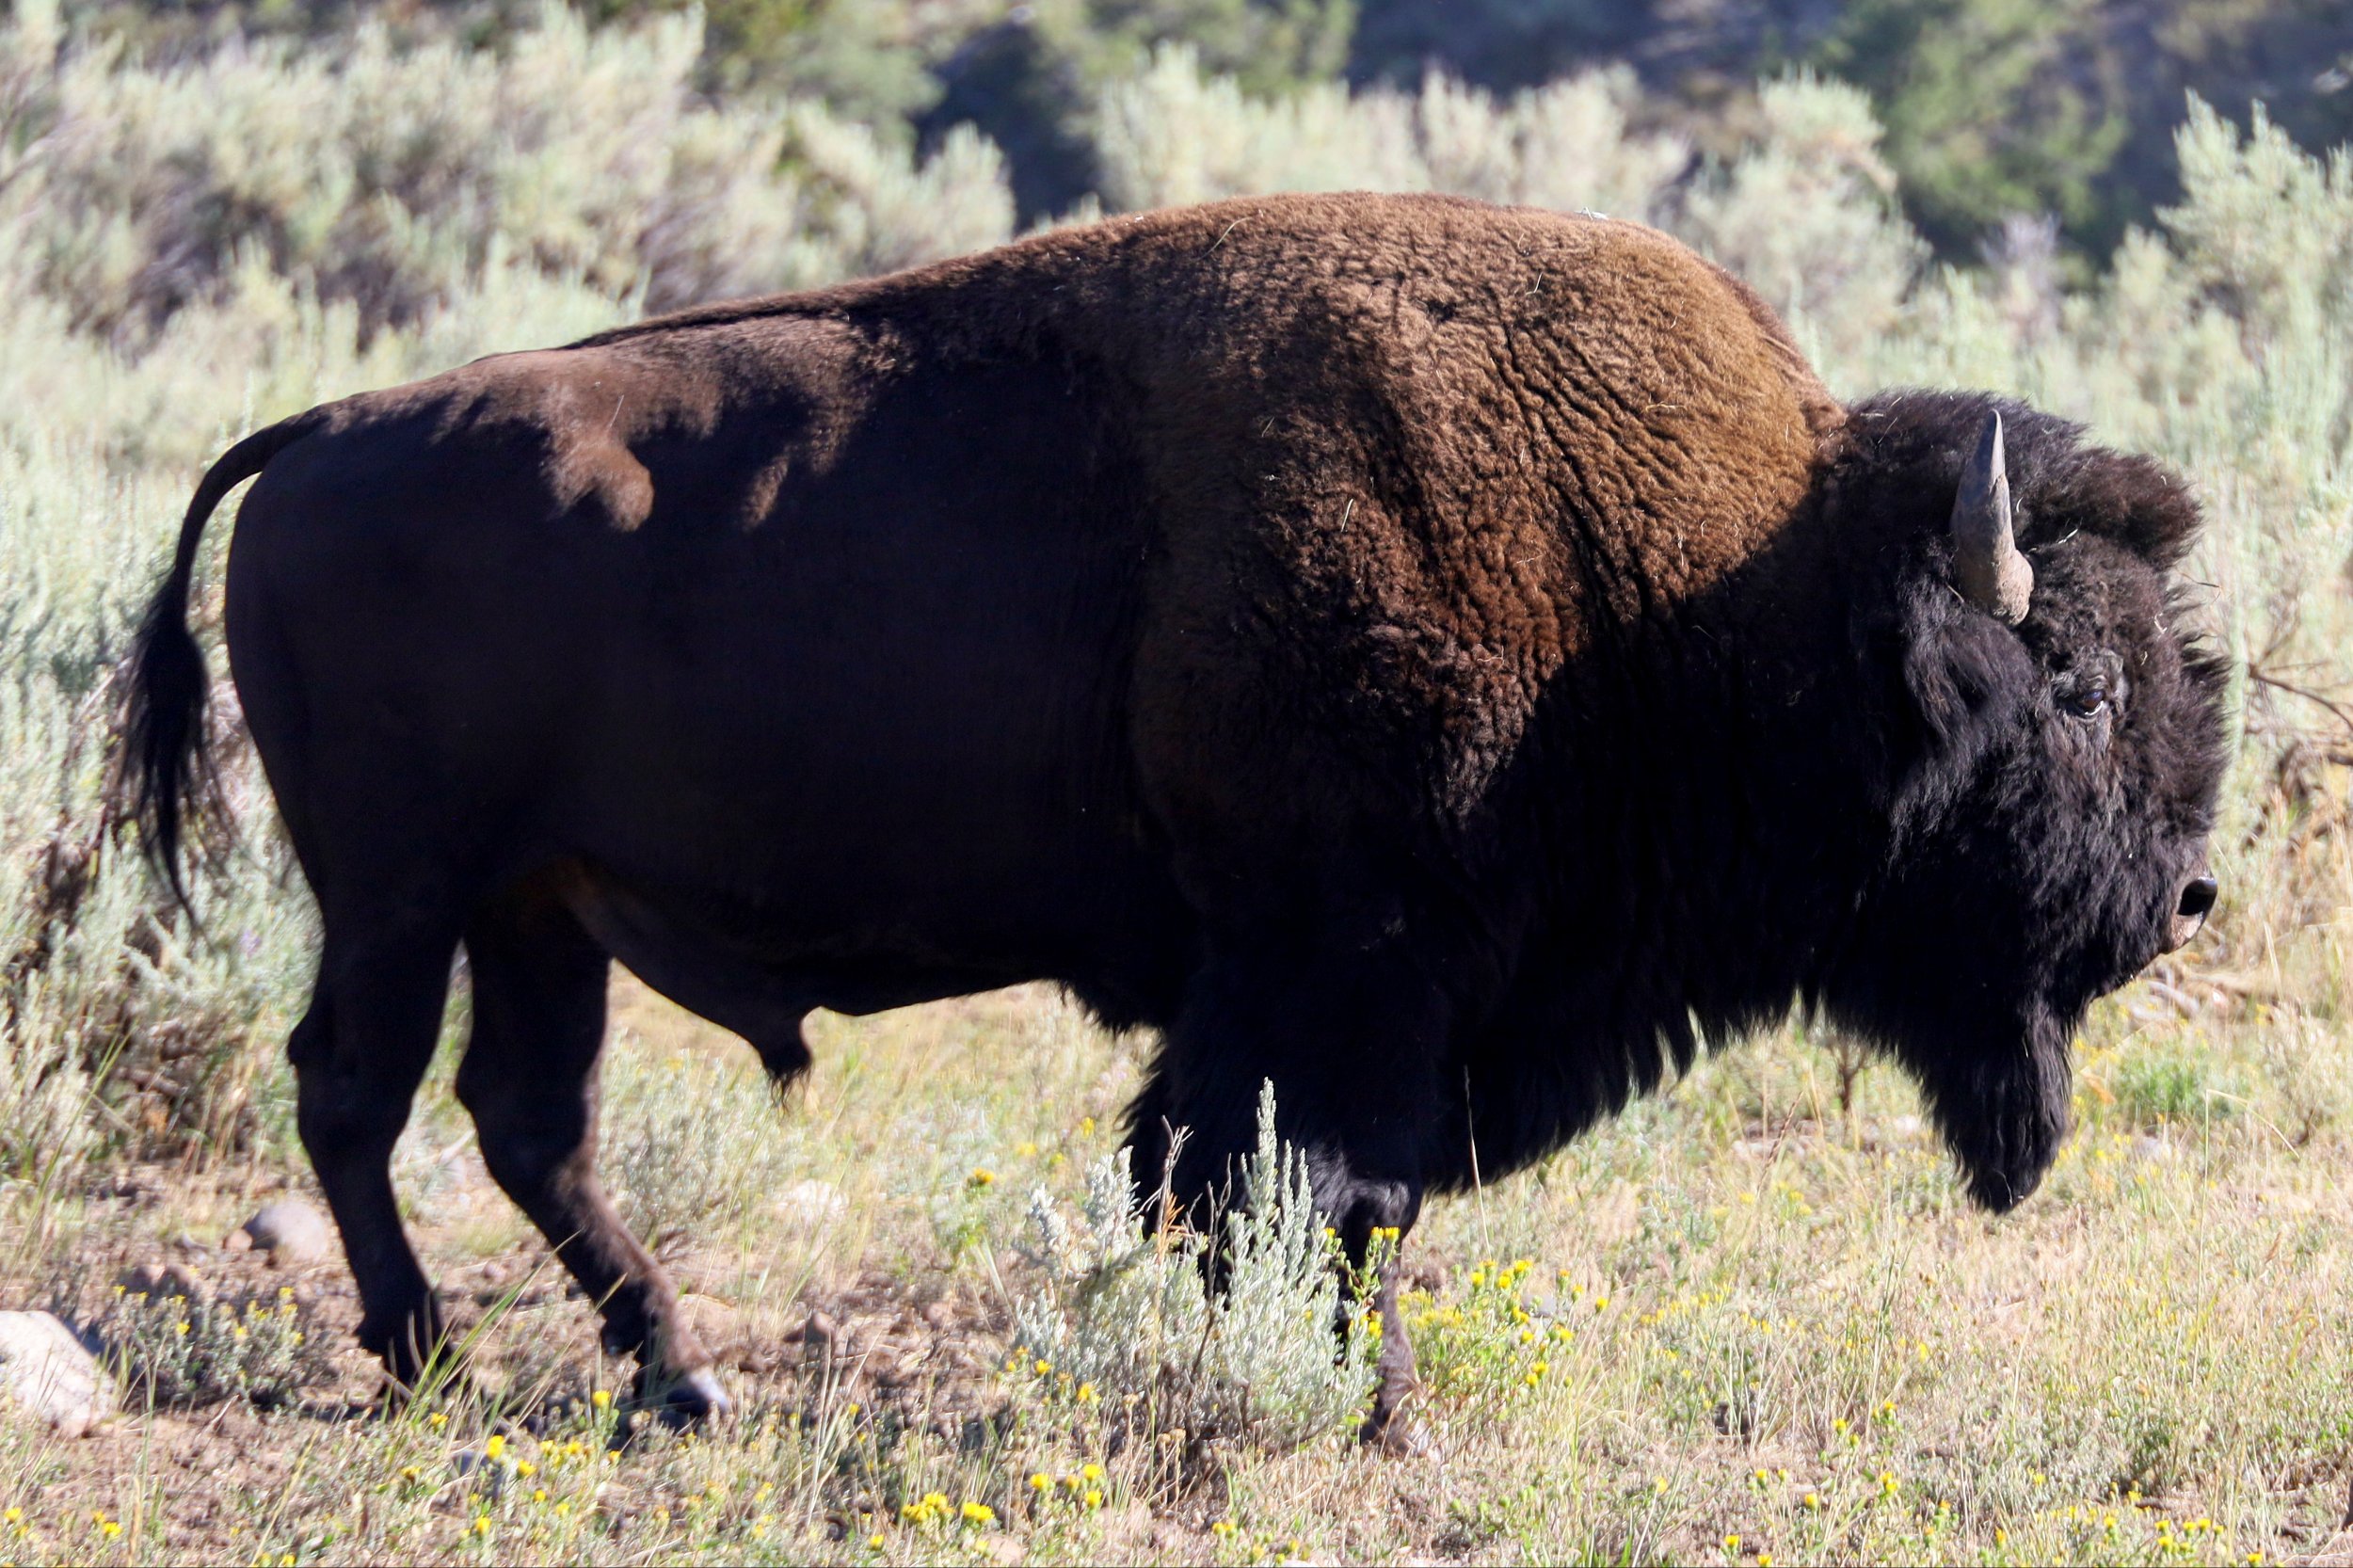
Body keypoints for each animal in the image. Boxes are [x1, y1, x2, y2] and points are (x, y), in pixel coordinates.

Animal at [123, 191, 2221, 1440]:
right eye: (2077, 686)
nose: (2188, 894)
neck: (1723, 584)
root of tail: (311, 439)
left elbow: (1284, 1192)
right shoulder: (1340, 974)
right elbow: (1317, 1188)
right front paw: (1369, 1407)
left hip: (538, 906)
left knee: (523, 1115)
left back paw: (678, 1377)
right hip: (401, 892)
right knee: (355, 1092)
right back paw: (426, 1359)